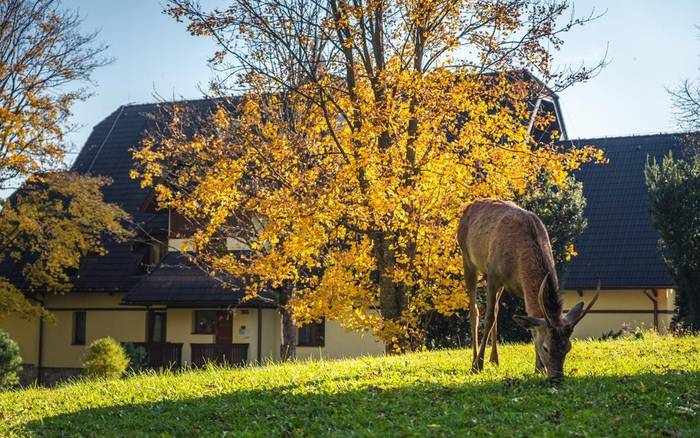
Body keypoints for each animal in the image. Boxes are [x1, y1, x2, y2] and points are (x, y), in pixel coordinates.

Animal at [456, 199, 600, 380]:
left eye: (568, 348)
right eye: (546, 347)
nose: (557, 377)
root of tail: (469, 206)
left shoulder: (518, 287)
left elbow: (531, 319)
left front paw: (538, 369)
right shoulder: (494, 274)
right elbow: (488, 318)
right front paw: (477, 366)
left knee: (495, 310)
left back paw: (494, 359)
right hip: (467, 259)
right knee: (475, 310)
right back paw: (475, 359)